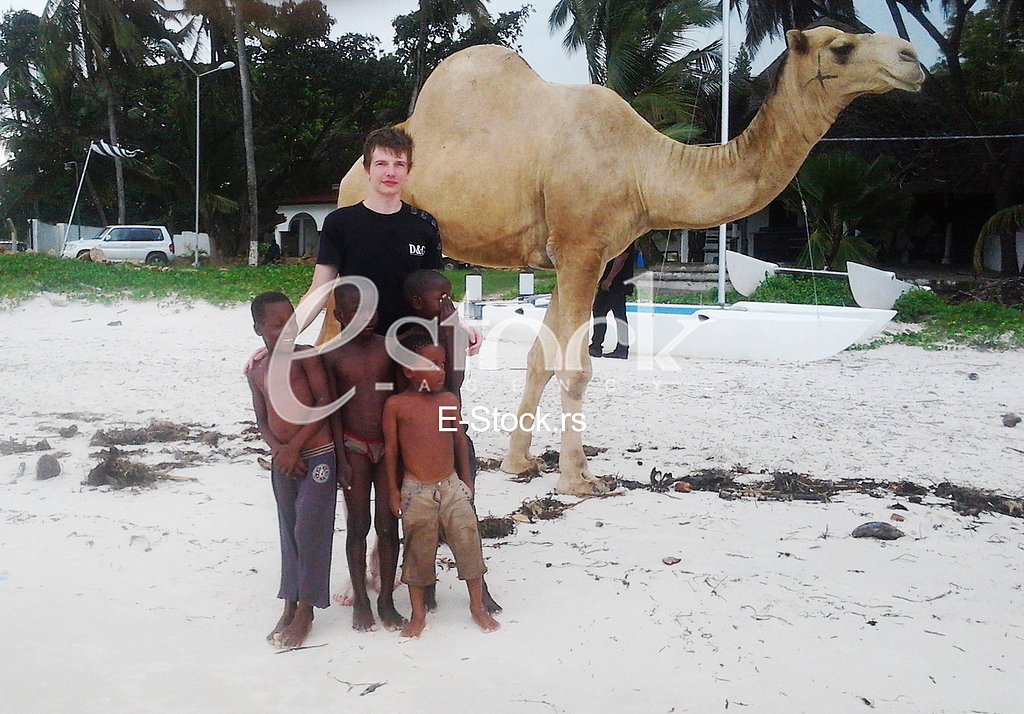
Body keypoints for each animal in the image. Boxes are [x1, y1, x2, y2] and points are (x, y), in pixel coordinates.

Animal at [321, 25, 929, 493]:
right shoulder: (582, 249)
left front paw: (520, 463)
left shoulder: (571, 255)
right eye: (842, 46)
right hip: (348, 231)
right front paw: (578, 479)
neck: (644, 166)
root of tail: (348, 174)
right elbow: (576, 365)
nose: (912, 58)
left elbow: (541, 357)